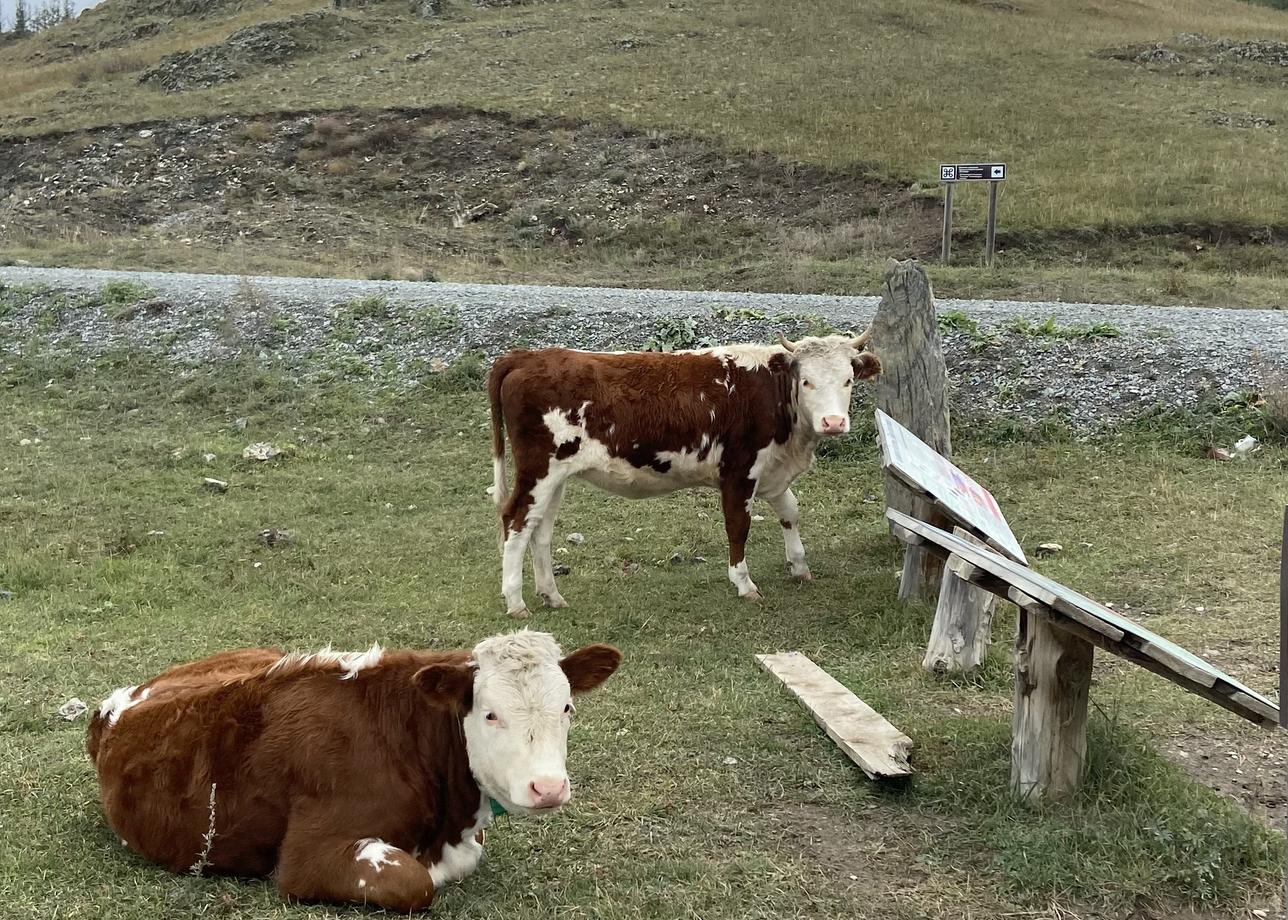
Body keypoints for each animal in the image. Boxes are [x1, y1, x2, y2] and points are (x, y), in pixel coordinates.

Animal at [85, 626, 618, 907]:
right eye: (490, 714)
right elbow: (415, 882)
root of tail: (118, 700)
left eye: (567, 707)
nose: (547, 787)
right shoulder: (306, 859)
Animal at [486, 329, 880, 615]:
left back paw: (551, 595)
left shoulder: (772, 471)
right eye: (807, 381)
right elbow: (738, 526)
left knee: (539, 531)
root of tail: (526, 356)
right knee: (516, 522)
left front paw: (799, 566)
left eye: (848, 380)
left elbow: (790, 513)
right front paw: (743, 583)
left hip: (555, 477)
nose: (833, 422)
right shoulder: (738, 471)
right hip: (539, 469)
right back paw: (516, 602)